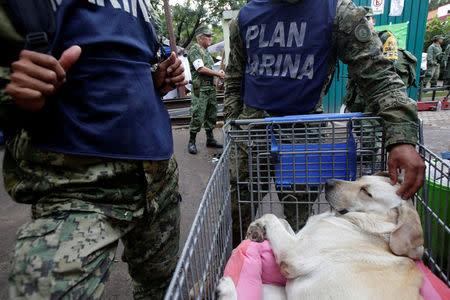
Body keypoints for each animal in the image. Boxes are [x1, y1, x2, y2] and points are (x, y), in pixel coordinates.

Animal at [216, 173, 424, 300]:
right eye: (359, 178)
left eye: (366, 191)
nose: (328, 182)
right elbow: (283, 222)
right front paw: (257, 227)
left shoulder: (294, 253)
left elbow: (272, 216)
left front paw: (260, 225)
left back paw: (224, 288)